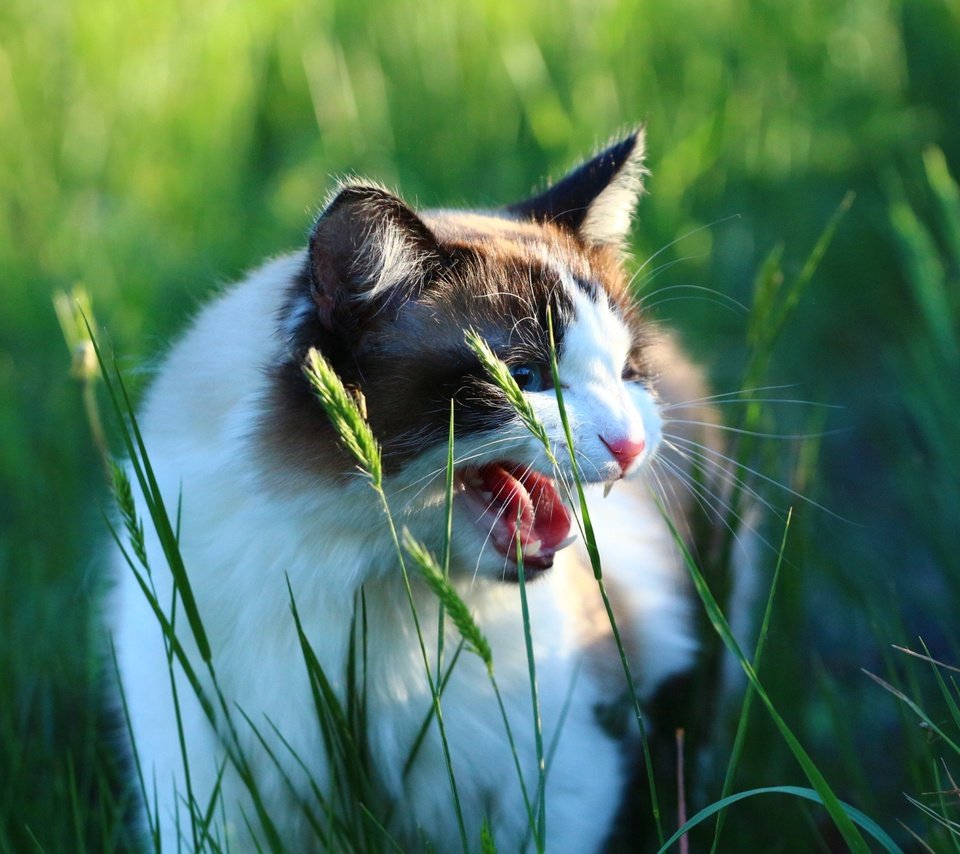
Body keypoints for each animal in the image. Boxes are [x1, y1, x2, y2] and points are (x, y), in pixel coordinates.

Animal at [112, 129, 712, 854]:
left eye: (627, 374)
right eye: (524, 377)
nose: (630, 444)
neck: (369, 575)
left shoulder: (558, 776)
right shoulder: (205, 776)